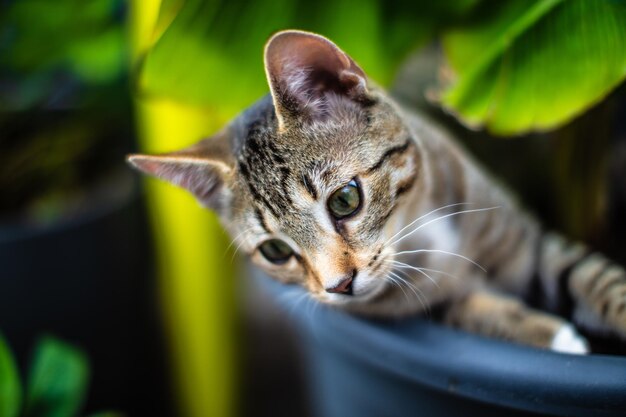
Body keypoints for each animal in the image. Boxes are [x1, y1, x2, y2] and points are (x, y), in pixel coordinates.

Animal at [128, 30, 624, 354]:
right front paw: (552, 334)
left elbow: (596, 278)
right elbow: (469, 308)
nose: (339, 287)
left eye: (344, 200)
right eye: (275, 251)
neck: (419, 231)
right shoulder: (426, 309)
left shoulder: (527, 243)